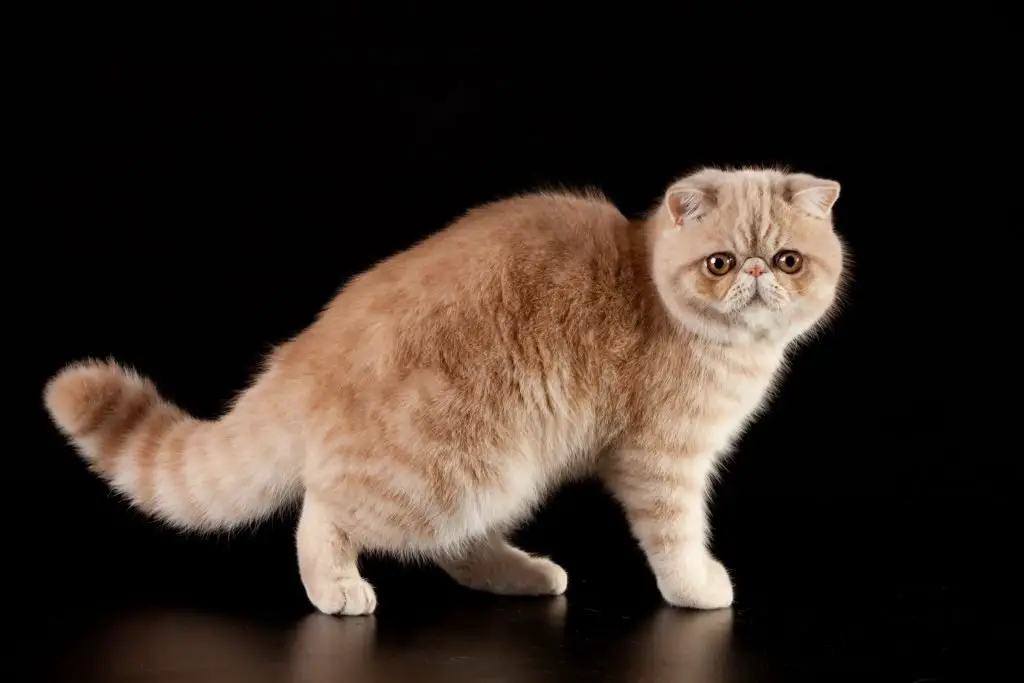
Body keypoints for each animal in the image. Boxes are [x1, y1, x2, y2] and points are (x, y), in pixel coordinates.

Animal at [44, 167, 847, 618]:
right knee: (320, 513)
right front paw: (697, 587)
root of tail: (304, 351)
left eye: (787, 259)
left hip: (500, 475)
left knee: (456, 548)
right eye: (720, 262)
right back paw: (336, 589)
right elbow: (678, 535)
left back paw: (524, 573)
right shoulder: (662, 462)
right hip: (455, 470)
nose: (756, 275)